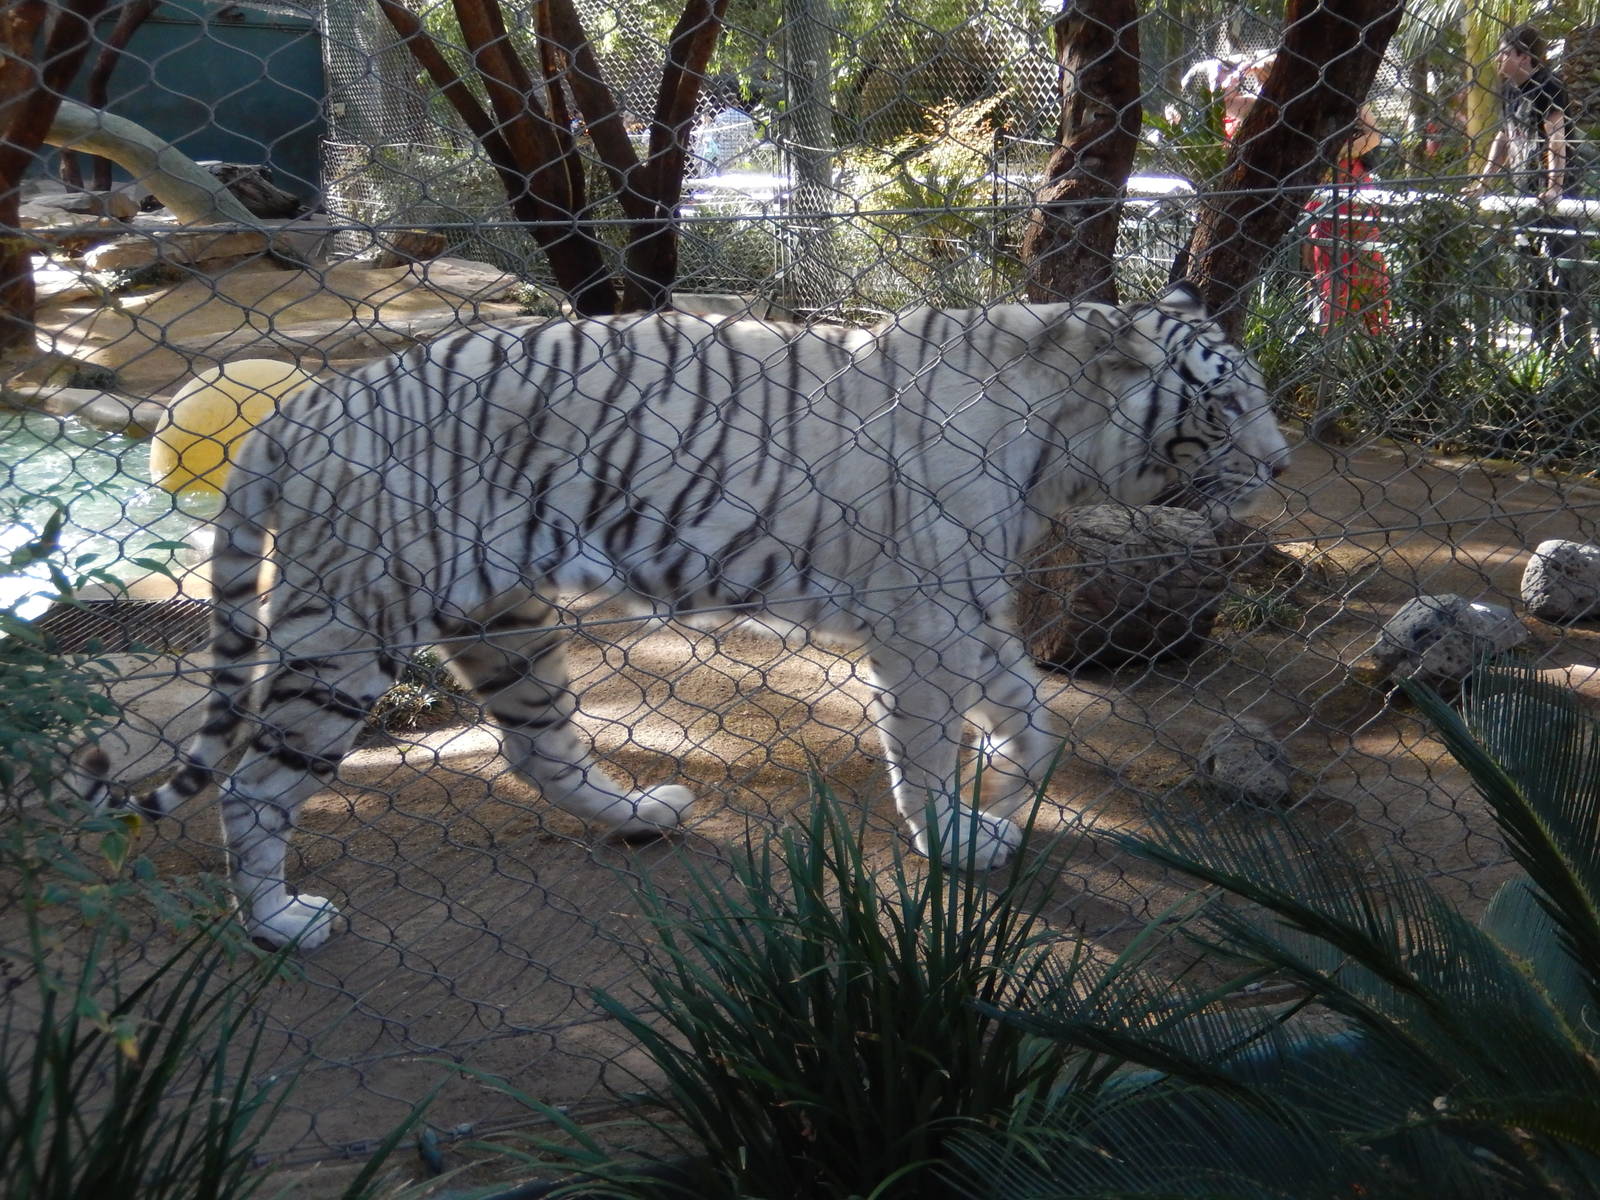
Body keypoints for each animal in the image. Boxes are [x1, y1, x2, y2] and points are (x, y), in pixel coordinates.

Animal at [78, 281, 1290, 950]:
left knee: (537, 750)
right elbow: (934, 744)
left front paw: (999, 782)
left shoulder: (966, 607)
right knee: (255, 784)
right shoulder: (926, 616)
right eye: (1228, 404)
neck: (1063, 438)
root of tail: (304, 407)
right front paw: (957, 833)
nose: (1280, 465)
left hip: (505, 620)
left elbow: (1029, 709)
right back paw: (281, 924)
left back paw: (643, 813)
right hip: (348, 629)